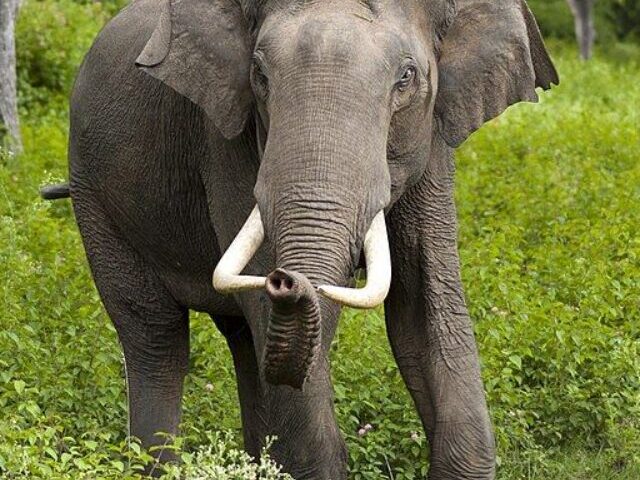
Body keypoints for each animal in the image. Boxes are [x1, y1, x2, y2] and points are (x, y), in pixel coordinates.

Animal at [58, 0, 556, 478]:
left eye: (406, 77)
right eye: (259, 74)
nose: (286, 280)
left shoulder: (432, 141)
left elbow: (423, 309)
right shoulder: (223, 139)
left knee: (243, 340)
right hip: (93, 195)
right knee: (155, 335)